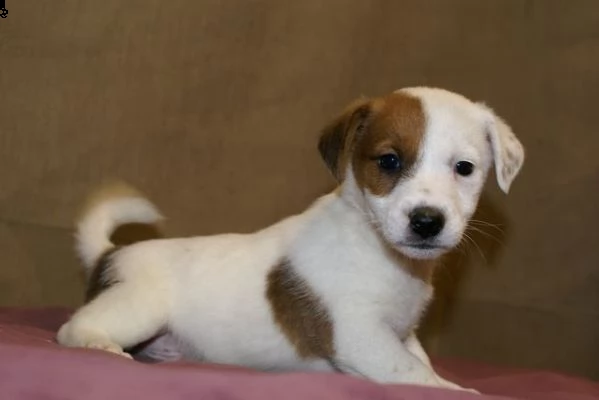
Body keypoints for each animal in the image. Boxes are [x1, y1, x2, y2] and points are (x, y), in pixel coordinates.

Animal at [57, 86, 524, 390]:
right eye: (389, 161)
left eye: (464, 168)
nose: (427, 221)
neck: (379, 250)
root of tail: (109, 253)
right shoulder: (357, 332)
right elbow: (418, 375)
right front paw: (460, 390)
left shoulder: (402, 333)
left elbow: (422, 362)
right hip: (138, 307)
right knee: (70, 329)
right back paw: (98, 344)